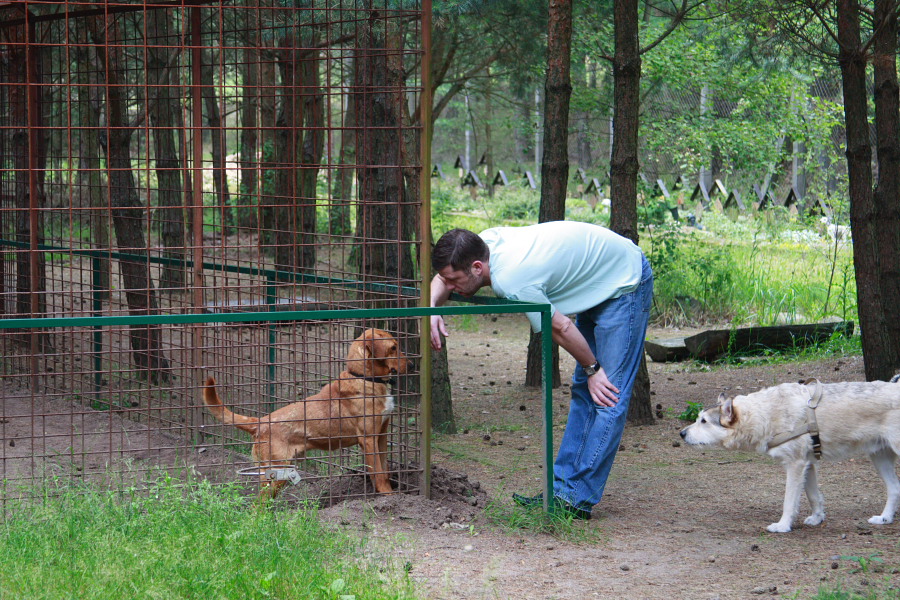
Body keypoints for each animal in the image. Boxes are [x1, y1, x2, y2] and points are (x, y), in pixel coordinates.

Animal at [202, 328, 410, 496]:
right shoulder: (368, 439)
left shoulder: (381, 435)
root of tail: (260, 423)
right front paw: (388, 496)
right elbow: (380, 473)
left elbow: (383, 470)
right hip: (277, 473)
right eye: (393, 347)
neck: (366, 379)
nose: (413, 365)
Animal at [684, 378, 900, 532]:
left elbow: (789, 502)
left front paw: (782, 526)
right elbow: (814, 497)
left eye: (703, 421)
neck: (765, 414)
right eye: (698, 419)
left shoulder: (795, 465)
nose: (681, 433)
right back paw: (885, 518)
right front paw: (817, 518)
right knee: (894, 487)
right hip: (879, 458)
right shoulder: (809, 464)